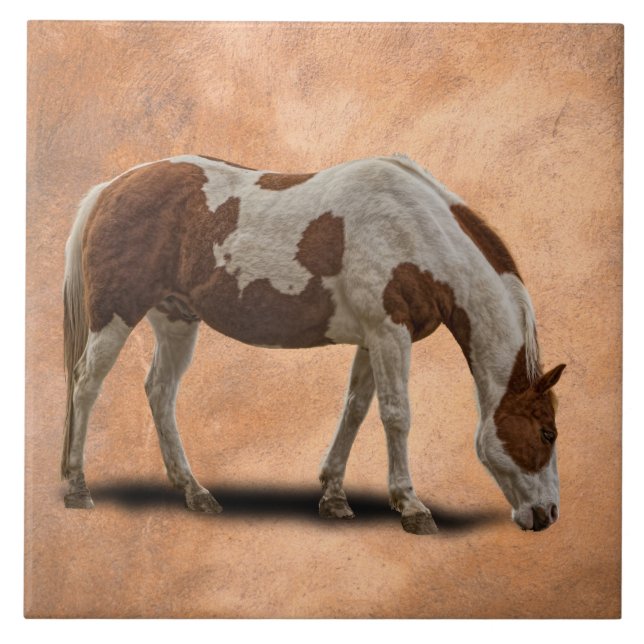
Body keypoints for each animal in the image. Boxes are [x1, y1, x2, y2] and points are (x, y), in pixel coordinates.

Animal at [61, 153, 565, 535]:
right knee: (86, 385)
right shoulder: (390, 331)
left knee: (160, 393)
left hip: (176, 319)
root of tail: (110, 187)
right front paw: (411, 506)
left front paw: (334, 496)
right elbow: (396, 416)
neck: (417, 230)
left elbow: (355, 410)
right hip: (115, 314)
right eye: (547, 432)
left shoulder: (372, 339)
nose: (549, 515)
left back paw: (194, 491)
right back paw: (76, 487)